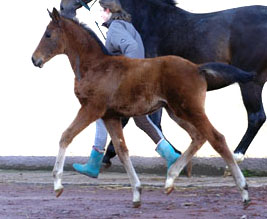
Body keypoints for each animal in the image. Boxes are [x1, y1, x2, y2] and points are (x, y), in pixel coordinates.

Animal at [32, 8, 252, 207]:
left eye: (48, 34)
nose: (35, 59)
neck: (95, 66)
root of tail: (198, 68)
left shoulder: (91, 108)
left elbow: (66, 135)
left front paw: (57, 185)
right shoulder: (110, 116)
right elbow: (122, 150)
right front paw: (137, 193)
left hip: (190, 110)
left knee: (217, 138)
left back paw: (244, 191)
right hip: (176, 112)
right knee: (198, 137)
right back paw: (170, 180)